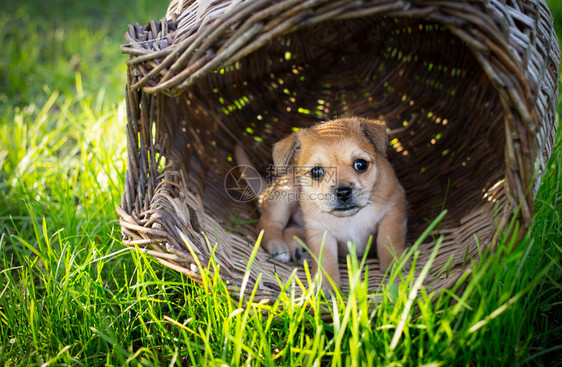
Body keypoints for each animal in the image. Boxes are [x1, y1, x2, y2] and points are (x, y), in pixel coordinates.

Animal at [234, 118, 404, 290]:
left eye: (360, 164)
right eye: (316, 172)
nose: (343, 192)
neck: (350, 218)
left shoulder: (393, 210)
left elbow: (388, 239)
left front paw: (395, 265)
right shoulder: (320, 232)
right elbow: (325, 261)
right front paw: (326, 286)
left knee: (288, 230)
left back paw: (300, 251)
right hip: (285, 195)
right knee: (267, 224)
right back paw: (278, 247)